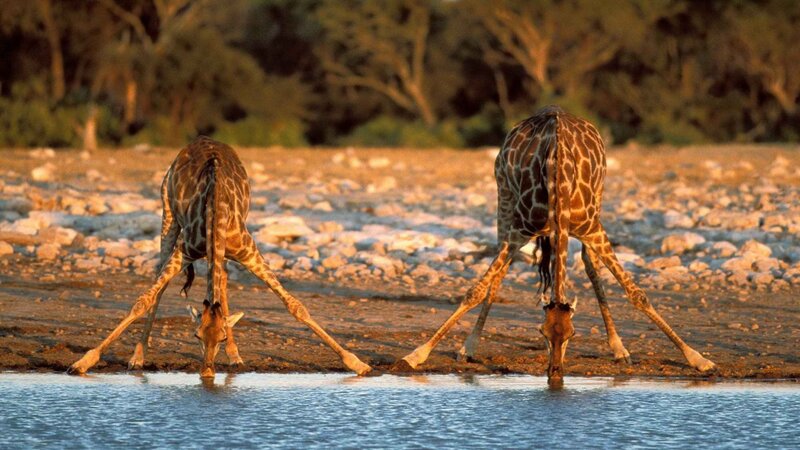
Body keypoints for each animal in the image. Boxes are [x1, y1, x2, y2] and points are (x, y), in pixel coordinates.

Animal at [68, 136, 372, 378]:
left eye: (221, 336)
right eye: (196, 335)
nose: (207, 372)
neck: (216, 210)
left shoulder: (248, 250)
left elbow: (296, 306)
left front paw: (357, 363)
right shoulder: (185, 250)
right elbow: (143, 301)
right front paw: (83, 362)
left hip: (220, 248)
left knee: (222, 282)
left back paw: (236, 356)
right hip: (168, 214)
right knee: (161, 280)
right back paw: (138, 357)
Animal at [397, 105, 715, 383]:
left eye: (572, 334)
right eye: (542, 332)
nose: (555, 373)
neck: (559, 178)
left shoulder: (592, 229)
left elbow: (637, 294)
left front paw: (698, 359)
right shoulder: (519, 230)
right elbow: (474, 290)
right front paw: (417, 355)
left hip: (598, 201)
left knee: (589, 264)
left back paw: (619, 348)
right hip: (504, 196)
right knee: (500, 270)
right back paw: (470, 346)